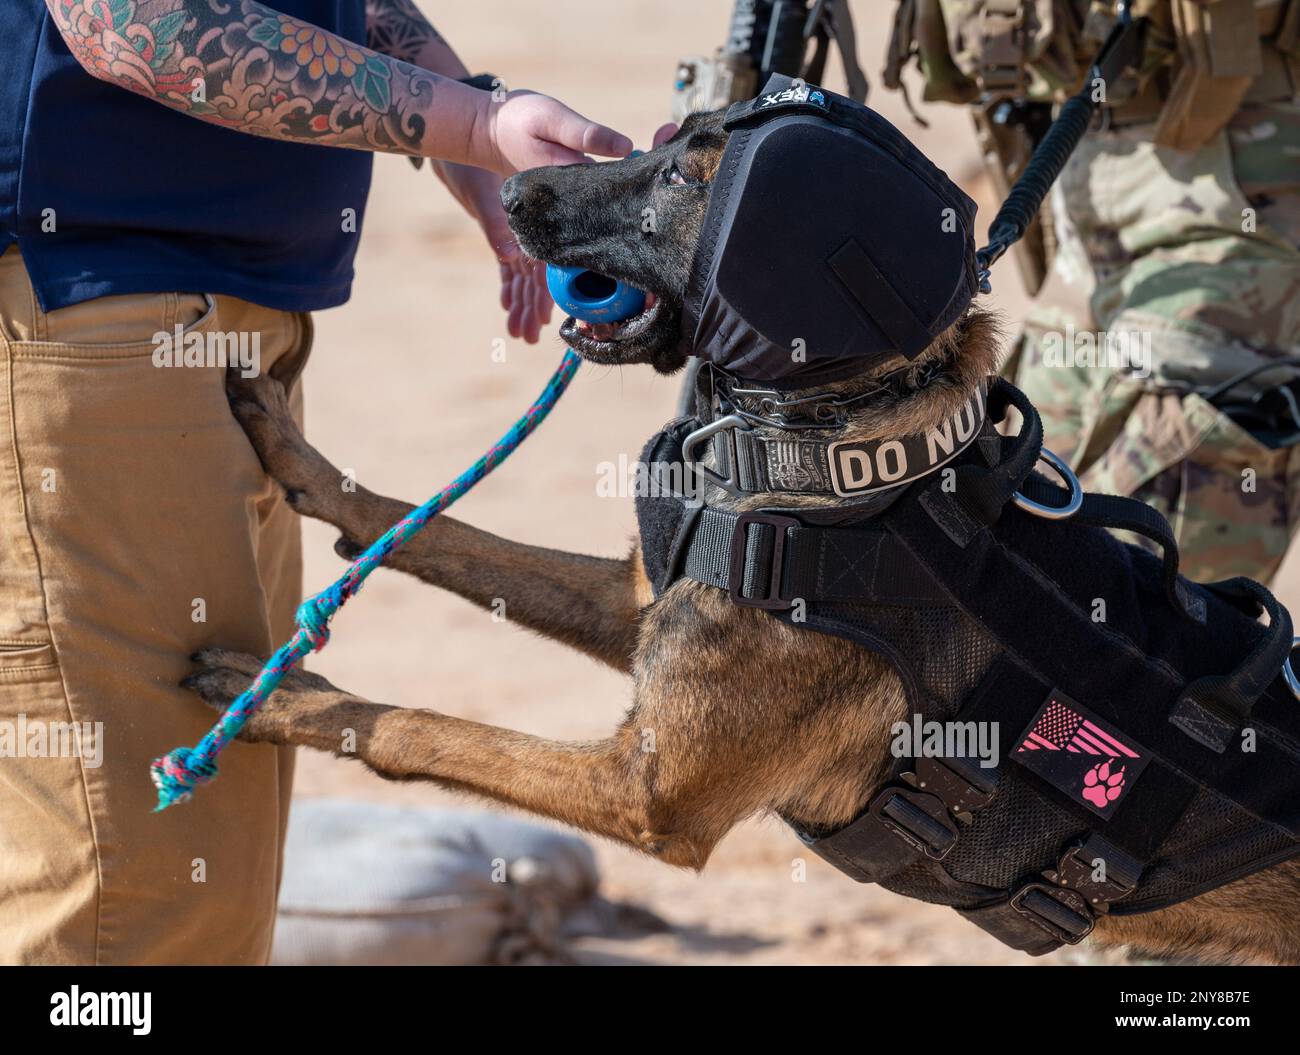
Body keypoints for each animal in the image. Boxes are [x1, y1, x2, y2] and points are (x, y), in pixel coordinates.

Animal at [188, 113, 1300, 966]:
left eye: (688, 174)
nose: (510, 183)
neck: (846, 469)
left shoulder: (641, 795)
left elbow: (418, 724)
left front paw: (275, 698)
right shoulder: (635, 602)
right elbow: (445, 529)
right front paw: (300, 461)